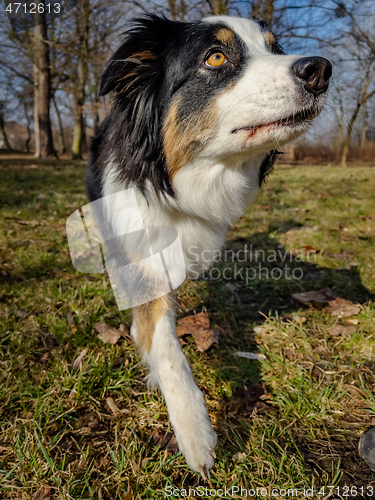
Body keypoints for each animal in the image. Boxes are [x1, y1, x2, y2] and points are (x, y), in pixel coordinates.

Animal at [86, 13, 332, 478]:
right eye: (215, 57)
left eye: (274, 49)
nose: (320, 70)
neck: (185, 188)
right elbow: (165, 348)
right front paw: (194, 432)